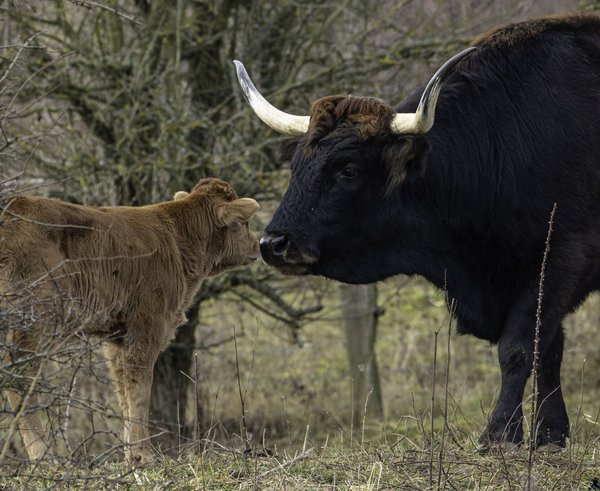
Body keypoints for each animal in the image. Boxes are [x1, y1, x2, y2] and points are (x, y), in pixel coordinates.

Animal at [1, 178, 262, 466]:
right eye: (243, 223)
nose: (257, 245)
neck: (180, 238)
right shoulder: (146, 324)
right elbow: (140, 387)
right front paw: (143, 454)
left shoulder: (117, 335)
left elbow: (123, 388)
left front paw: (129, 454)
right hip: (35, 317)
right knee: (20, 376)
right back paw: (44, 455)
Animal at [233, 13, 600, 452]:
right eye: (296, 166)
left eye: (348, 170)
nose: (273, 243)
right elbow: (549, 348)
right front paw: (550, 434)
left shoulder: (561, 256)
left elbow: (519, 347)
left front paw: (500, 433)